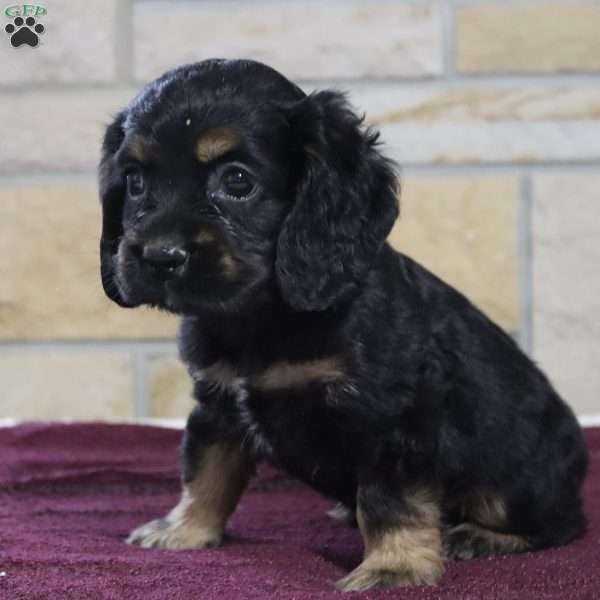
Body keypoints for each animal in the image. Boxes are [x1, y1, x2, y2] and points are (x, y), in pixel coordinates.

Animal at [101, 57, 588, 592]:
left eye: (237, 181)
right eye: (135, 182)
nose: (158, 257)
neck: (262, 316)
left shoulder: (391, 417)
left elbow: (389, 500)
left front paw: (393, 566)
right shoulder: (218, 402)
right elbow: (206, 470)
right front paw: (184, 529)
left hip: (519, 480)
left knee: (559, 524)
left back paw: (480, 536)